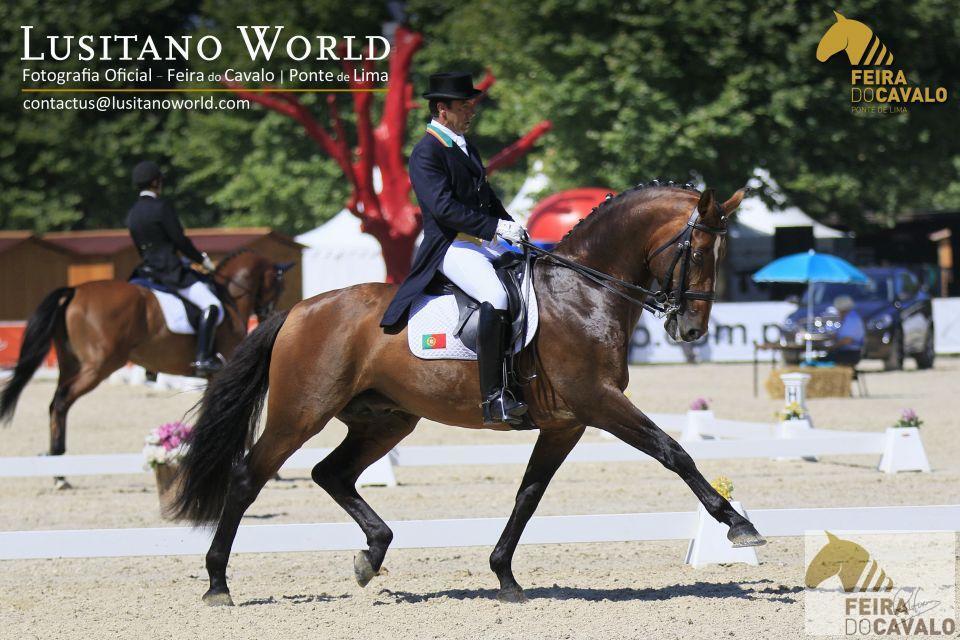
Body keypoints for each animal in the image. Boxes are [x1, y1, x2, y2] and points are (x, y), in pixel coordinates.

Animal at [0, 249, 291, 467]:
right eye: (277, 286)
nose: (268, 316)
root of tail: (75, 291)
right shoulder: (222, 370)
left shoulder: (214, 376)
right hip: (99, 366)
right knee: (61, 402)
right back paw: (57, 461)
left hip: (69, 363)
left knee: (55, 403)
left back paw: (57, 465)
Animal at [171, 184, 767, 606]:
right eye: (698, 251)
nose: (691, 330)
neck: (585, 293)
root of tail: (298, 309)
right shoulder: (598, 402)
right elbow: (675, 452)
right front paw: (739, 526)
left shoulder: (566, 423)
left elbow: (529, 495)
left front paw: (505, 576)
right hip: (301, 412)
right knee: (248, 476)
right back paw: (218, 583)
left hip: (386, 419)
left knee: (331, 473)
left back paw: (371, 555)